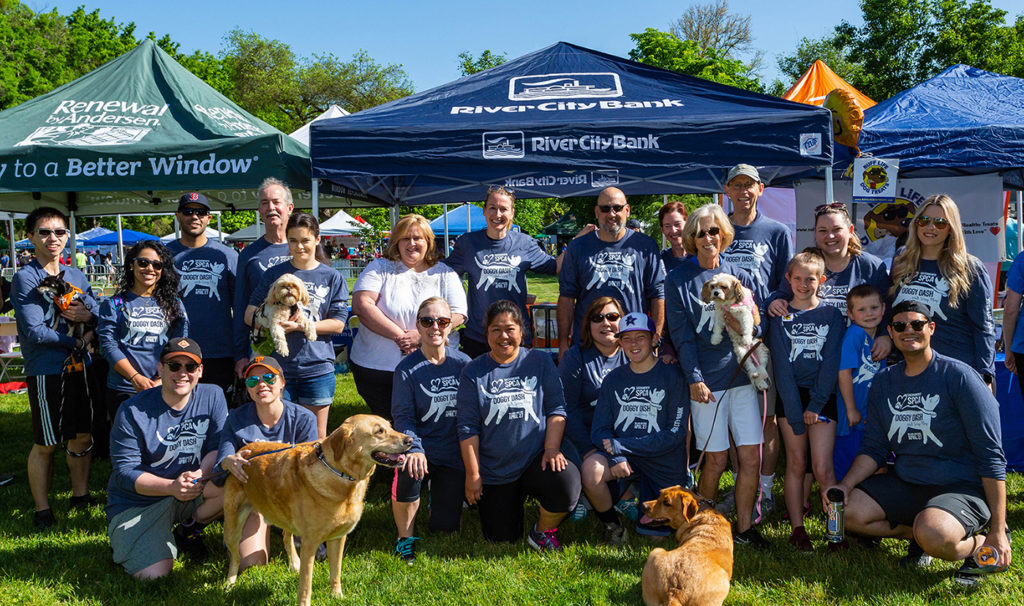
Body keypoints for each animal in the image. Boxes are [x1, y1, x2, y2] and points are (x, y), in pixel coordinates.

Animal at [224, 413, 411, 606]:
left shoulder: (338, 538)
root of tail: (243, 450)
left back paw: (294, 564)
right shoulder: (310, 543)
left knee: (286, 536)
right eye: (379, 431)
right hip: (232, 528)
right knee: (236, 556)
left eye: (390, 426)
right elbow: (306, 585)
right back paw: (229, 584)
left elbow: (336, 571)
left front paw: (336, 595)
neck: (342, 476)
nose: (410, 440)